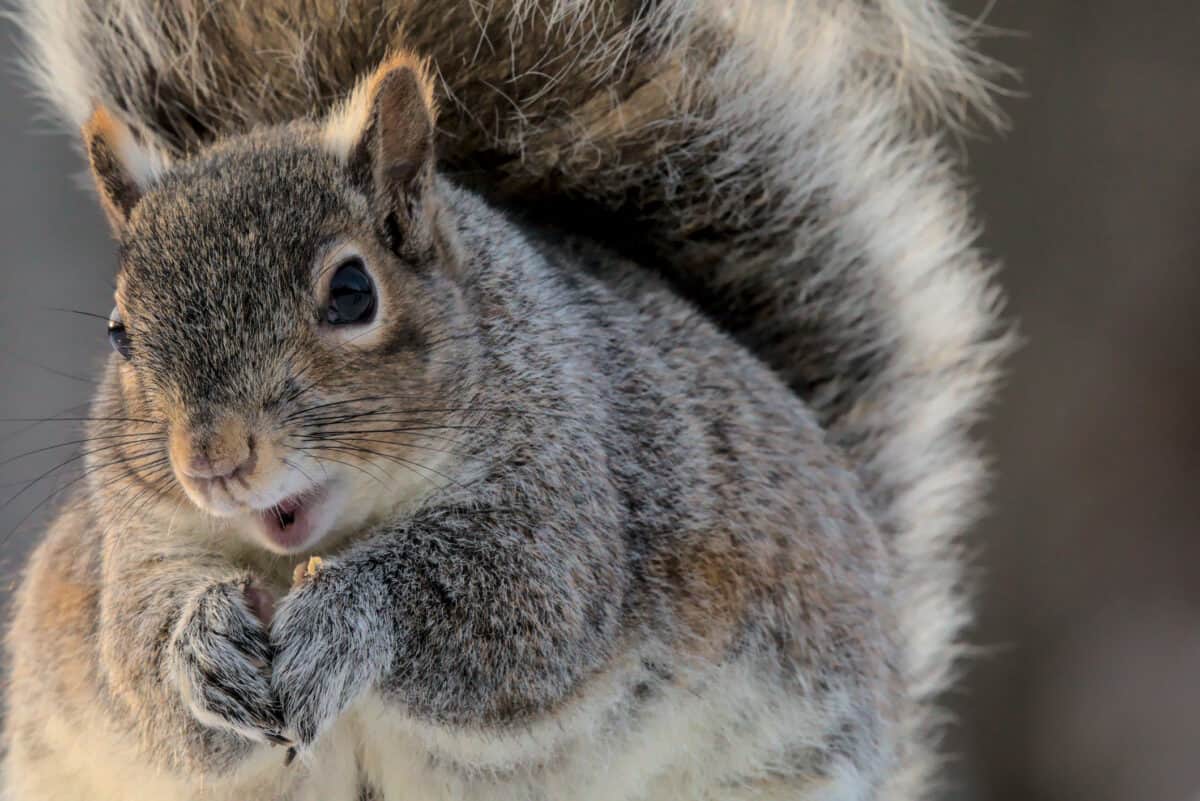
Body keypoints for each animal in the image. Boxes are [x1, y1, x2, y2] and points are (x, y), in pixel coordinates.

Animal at [3, 2, 1009, 800]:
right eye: (119, 332)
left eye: (352, 293)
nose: (211, 459)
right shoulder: (134, 544)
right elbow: (142, 671)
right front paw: (200, 647)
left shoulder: (573, 490)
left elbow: (514, 613)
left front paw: (345, 619)